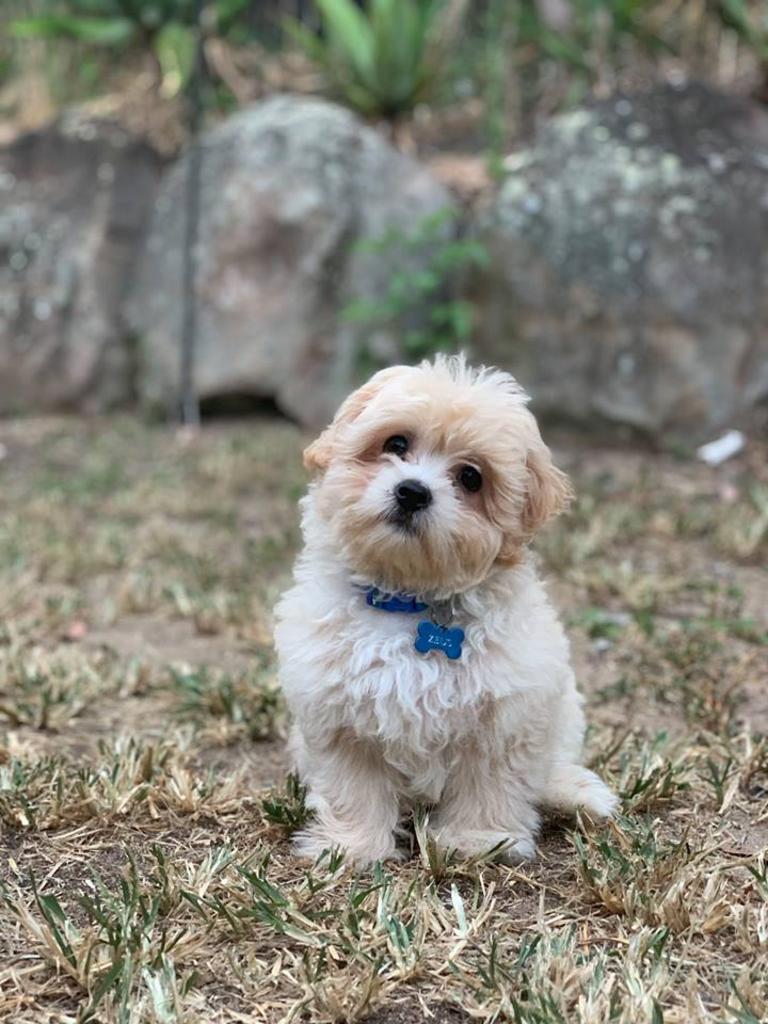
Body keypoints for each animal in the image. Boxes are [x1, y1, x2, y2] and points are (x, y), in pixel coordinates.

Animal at [276, 354, 618, 864]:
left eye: (471, 478)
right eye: (396, 443)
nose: (412, 492)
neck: (409, 600)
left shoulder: (505, 713)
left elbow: (489, 784)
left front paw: (477, 840)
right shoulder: (339, 714)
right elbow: (353, 786)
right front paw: (350, 845)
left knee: (549, 768)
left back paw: (575, 794)